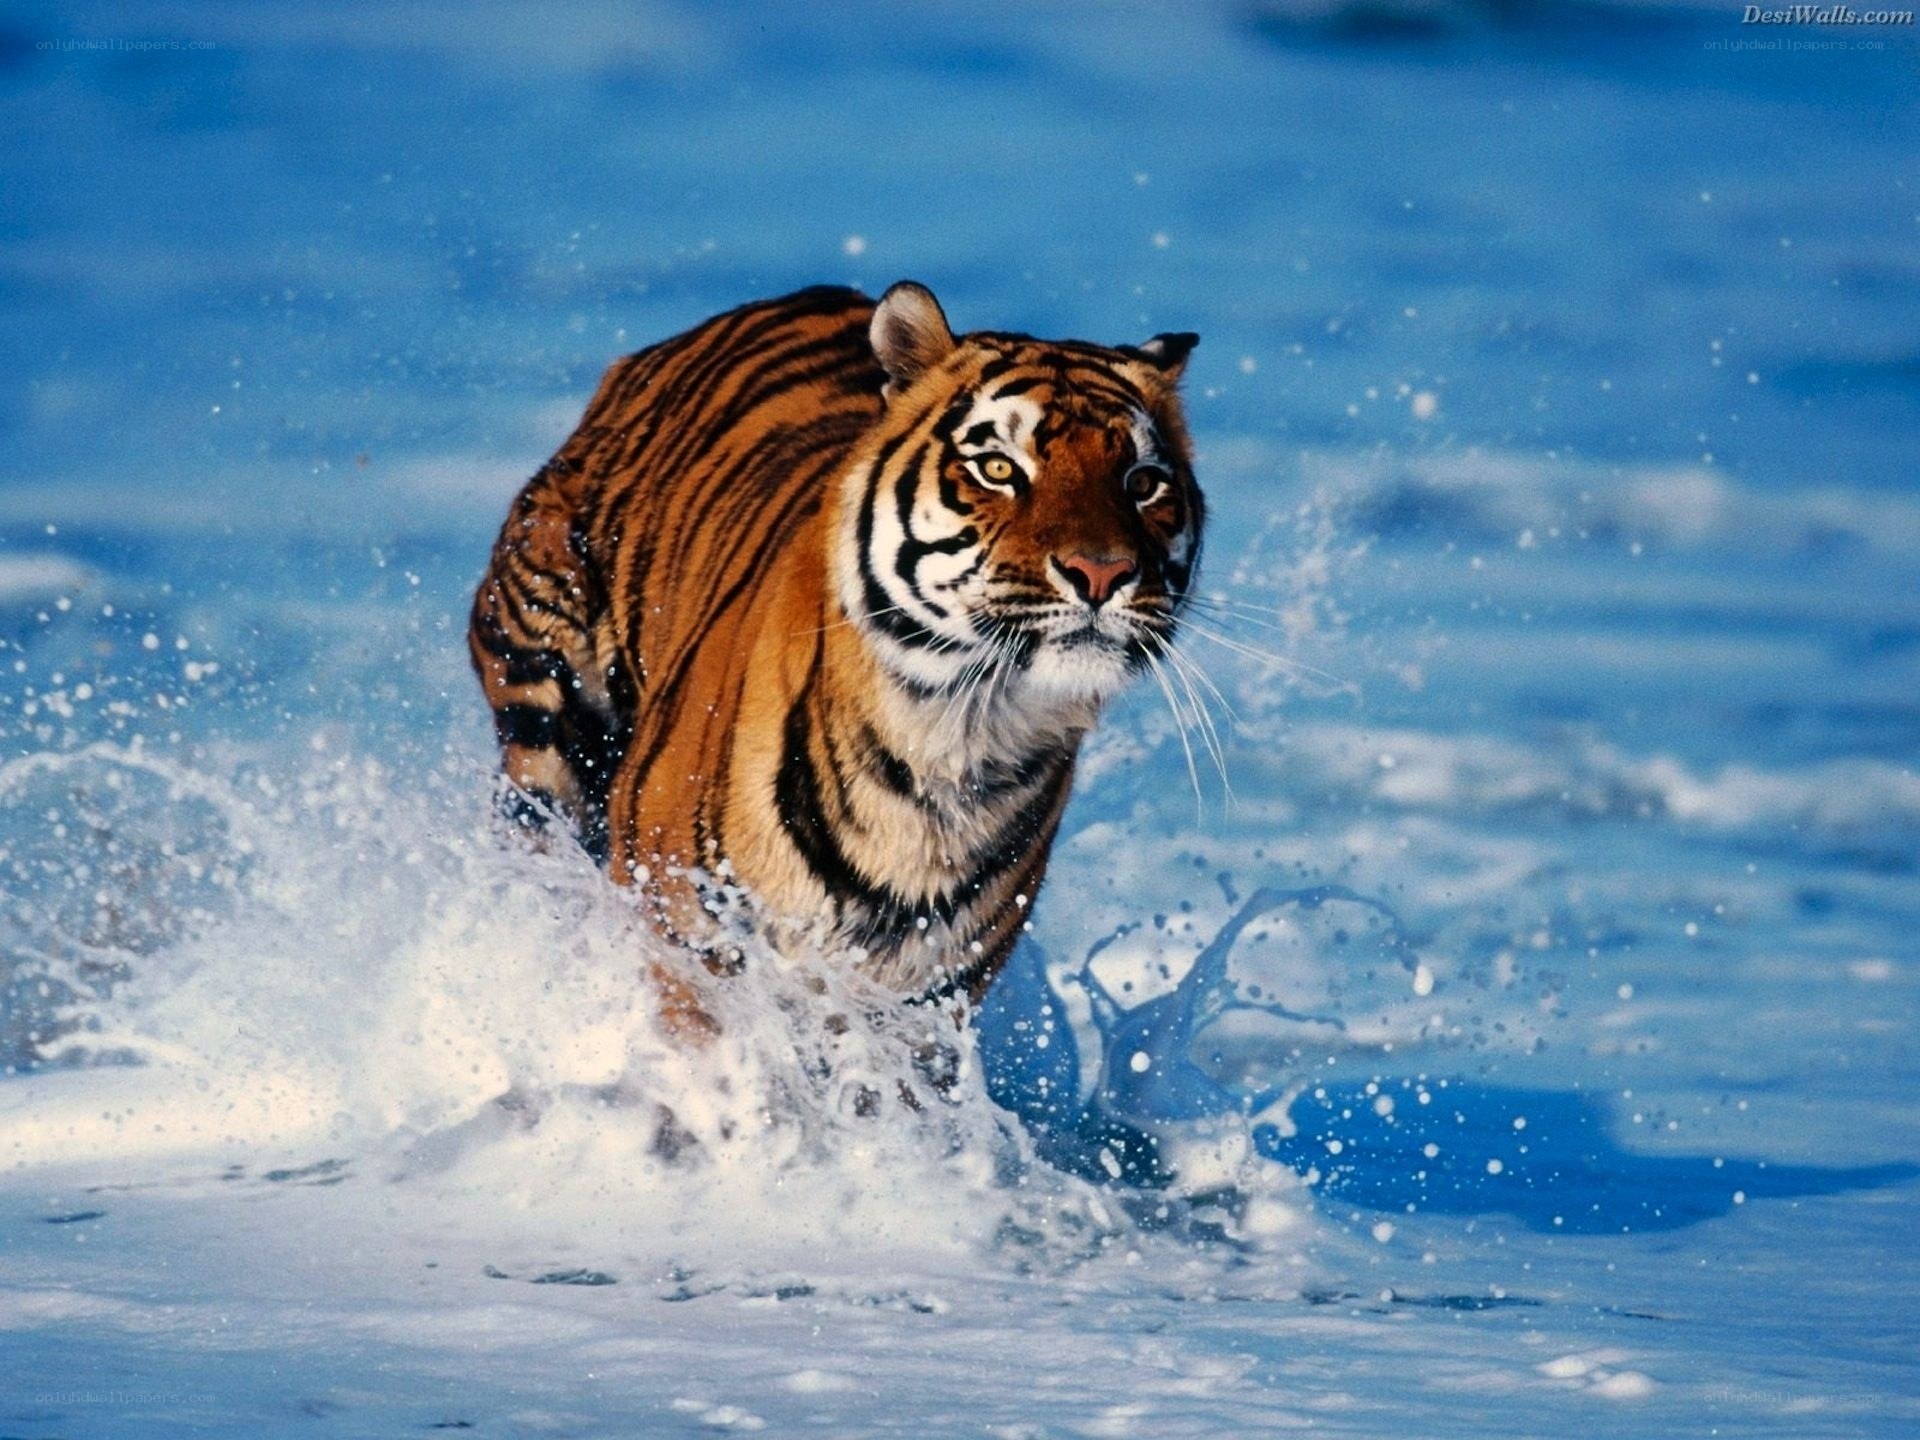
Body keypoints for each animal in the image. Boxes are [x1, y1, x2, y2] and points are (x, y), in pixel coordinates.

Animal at [469, 282, 1202, 1015]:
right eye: (998, 468)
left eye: (1143, 482)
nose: (1102, 573)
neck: (955, 743)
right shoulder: (687, 936)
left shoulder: (927, 999)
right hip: (547, 719)